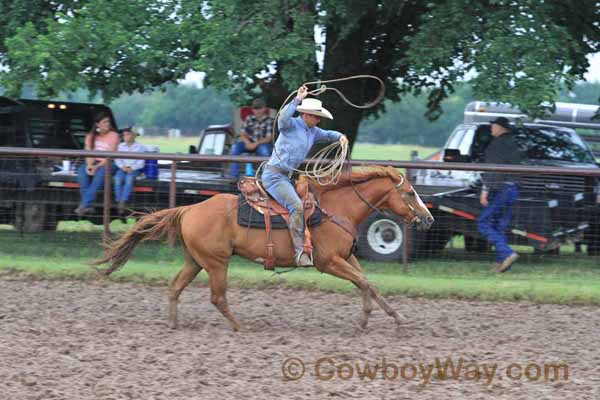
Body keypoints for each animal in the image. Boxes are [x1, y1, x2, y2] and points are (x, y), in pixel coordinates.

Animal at [91, 166, 434, 332]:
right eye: (410, 192)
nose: (429, 218)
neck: (338, 209)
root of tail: (189, 209)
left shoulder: (346, 257)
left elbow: (366, 284)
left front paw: (377, 319)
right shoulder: (329, 262)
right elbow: (365, 282)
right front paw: (387, 318)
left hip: (196, 261)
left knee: (175, 287)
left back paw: (174, 324)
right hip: (217, 263)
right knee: (217, 297)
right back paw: (239, 327)